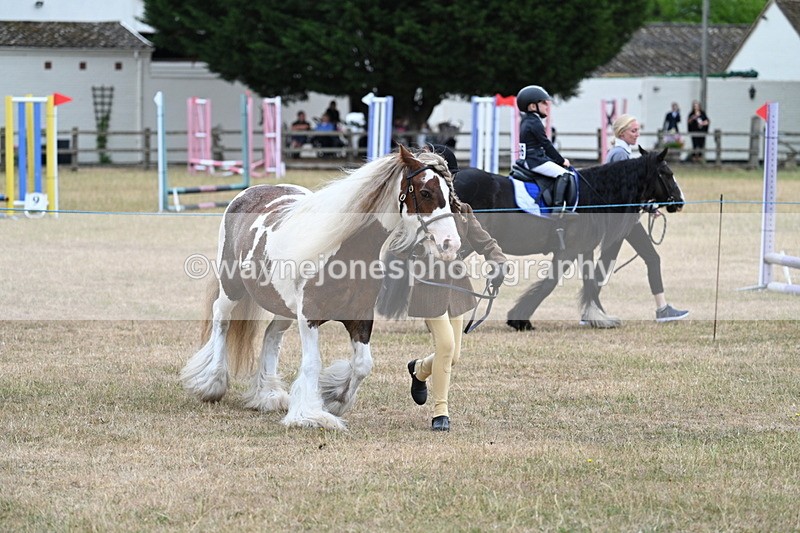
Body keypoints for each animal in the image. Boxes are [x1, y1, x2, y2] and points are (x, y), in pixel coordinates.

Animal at [181, 145, 461, 430]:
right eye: (425, 192)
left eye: (451, 195)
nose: (450, 244)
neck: (346, 250)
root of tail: (248, 193)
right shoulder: (309, 316)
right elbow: (313, 363)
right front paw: (310, 414)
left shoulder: (360, 316)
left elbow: (363, 364)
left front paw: (335, 399)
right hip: (232, 288)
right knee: (221, 320)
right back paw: (213, 383)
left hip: (282, 305)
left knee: (271, 335)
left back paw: (268, 394)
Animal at [453, 147, 684, 331]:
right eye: (667, 173)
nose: (680, 201)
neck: (591, 196)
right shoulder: (568, 250)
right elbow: (550, 283)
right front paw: (520, 319)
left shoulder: (584, 249)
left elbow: (591, 282)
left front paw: (597, 316)